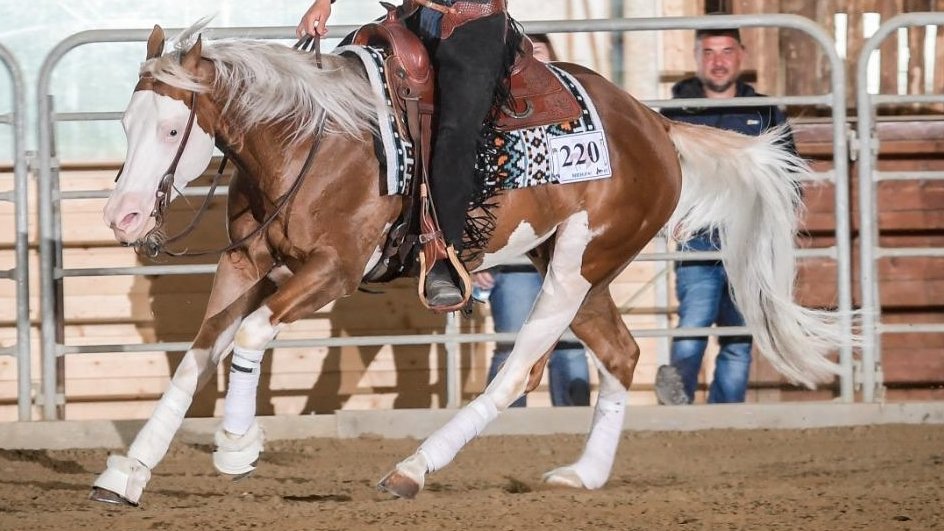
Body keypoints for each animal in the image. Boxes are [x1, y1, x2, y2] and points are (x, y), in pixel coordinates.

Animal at [92, 21, 846, 506]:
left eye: (171, 127)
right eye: (126, 124)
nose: (122, 216)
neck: (311, 137)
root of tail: (655, 123)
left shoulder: (333, 270)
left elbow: (248, 335)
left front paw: (236, 444)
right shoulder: (246, 261)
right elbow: (197, 354)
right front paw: (128, 473)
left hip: (576, 265)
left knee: (522, 369)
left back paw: (412, 469)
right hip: (576, 263)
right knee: (621, 353)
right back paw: (585, 474)